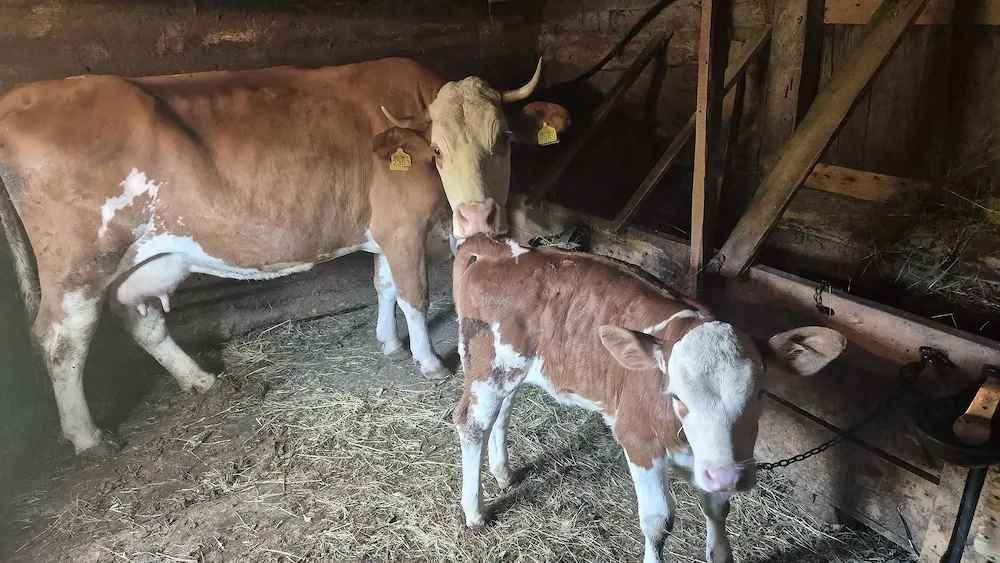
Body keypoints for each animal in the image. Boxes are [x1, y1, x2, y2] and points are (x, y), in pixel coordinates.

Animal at [0, 57, 571, 457]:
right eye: (437, 151)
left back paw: (200, 380)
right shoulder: (403, 229)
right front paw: (427, 360)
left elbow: (383, 285)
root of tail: (19, 98)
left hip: (138, 261)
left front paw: (388, 343)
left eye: (506, 140)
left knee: (140, 320)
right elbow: (413, 294)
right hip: (78, 265)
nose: (477, 217)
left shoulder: (383, 232)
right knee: (62, 339)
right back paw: (87, 435)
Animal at [450, 235, 847, 563]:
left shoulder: (710, 459)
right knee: (471, 422)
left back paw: (503, 473)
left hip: (509, 370)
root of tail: (499, 247)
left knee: (501, 413)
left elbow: (718, 508)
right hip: (486, 365)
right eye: (675, 395)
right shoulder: (637, 440)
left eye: (760, 392)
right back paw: (474, 511)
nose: (728, 475)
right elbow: (658, 522)